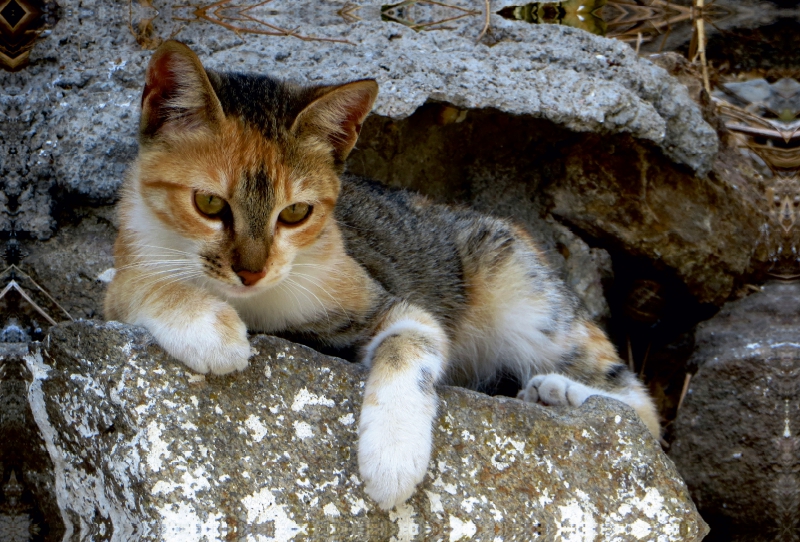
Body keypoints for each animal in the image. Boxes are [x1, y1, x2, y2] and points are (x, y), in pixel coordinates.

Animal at [104, 40, 656, 512]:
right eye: (209, 203)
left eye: (296, 213)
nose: (251, 271)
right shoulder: (124, 270)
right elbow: (135, 284)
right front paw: (211, 332)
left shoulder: (385, 302)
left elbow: (410, 343)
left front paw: (391, 461)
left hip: (519, 288)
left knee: (638, 409)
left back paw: (560, 391)